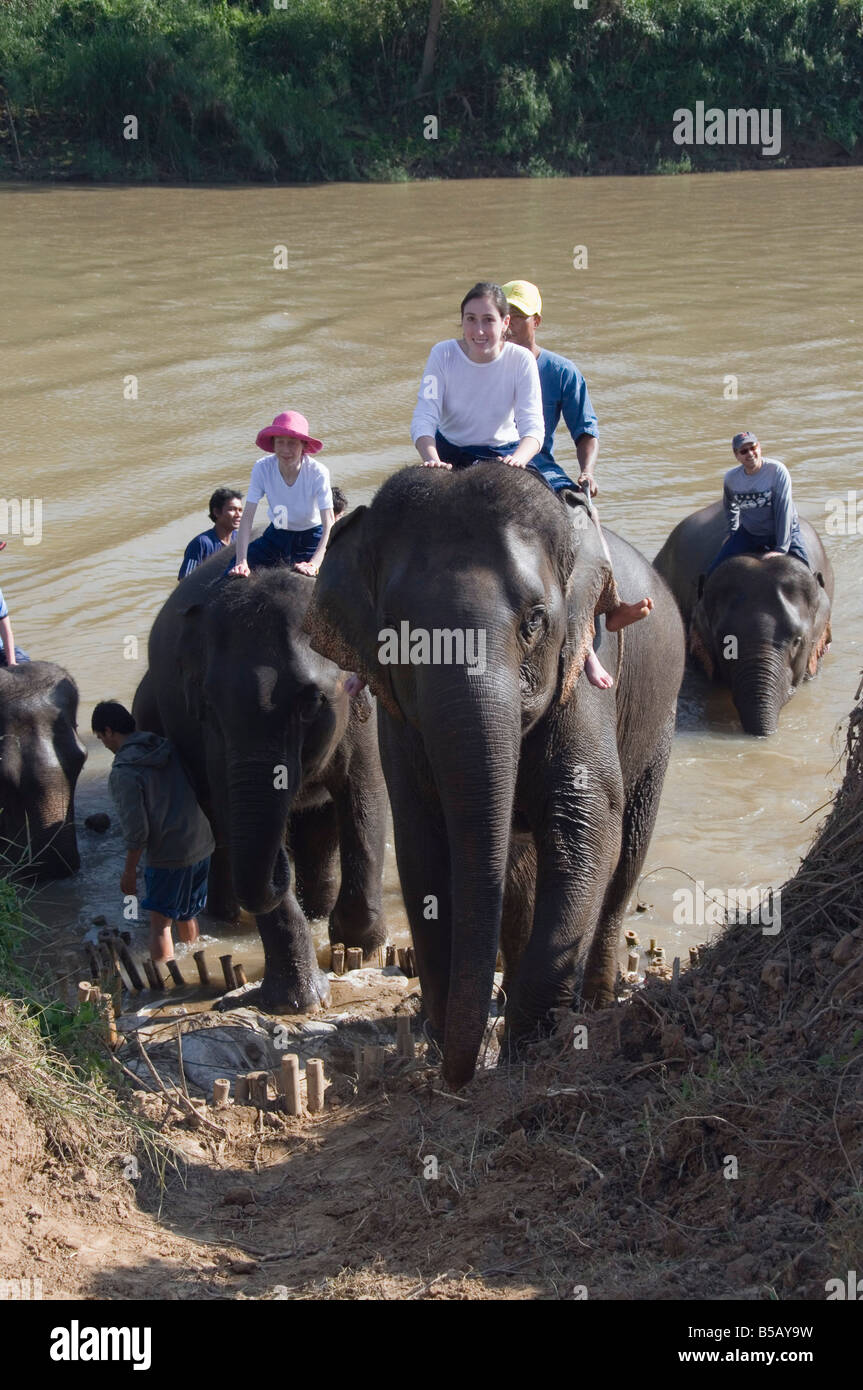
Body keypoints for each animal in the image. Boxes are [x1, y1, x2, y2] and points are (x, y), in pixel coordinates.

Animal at [129, 547, 386, 1017]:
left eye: (311, 703)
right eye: (208, 705)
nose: (278, 859)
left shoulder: (364, 711)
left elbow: (364, 800)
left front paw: (365, 952)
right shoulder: (214, 740)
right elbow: (233, 815)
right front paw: (299, 1003)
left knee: (320, 828)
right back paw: (226, 915)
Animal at [304, 461, 686, 1089]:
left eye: (535, 622)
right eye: (395, 635)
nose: (461, 1076)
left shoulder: (581, 676)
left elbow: (587, 825)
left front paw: (527, 1044)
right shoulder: (398, 722)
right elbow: (423, 844)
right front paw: (442, 1039)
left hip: (660, 717)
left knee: (627, 852)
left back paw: (596, 1000)